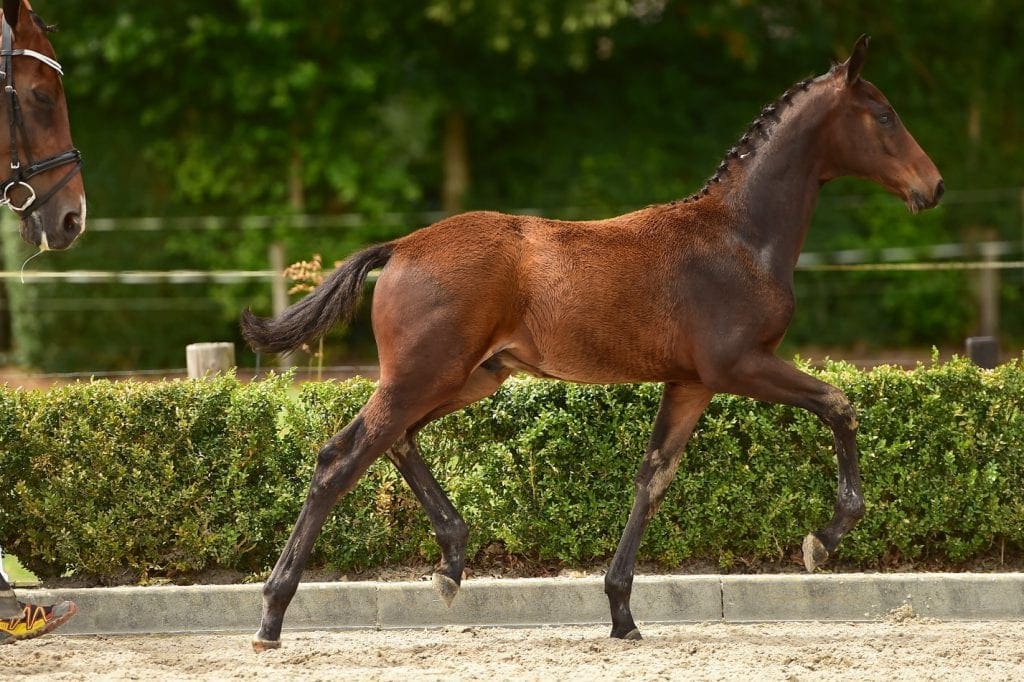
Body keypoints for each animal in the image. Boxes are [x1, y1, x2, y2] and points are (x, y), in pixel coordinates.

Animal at [242, 35, 943, 650]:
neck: (740, 237)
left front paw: (622, 613)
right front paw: (823, 540)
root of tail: (401, 247)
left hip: (470, 376)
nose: (932, 186)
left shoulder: (691, 382)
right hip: (425, 374)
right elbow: (839, 405)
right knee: (339, 458)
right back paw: (272, 618)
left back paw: (450, 563)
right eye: (885, 114)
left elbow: (653, 477)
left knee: (395, 440)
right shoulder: (741, 365)